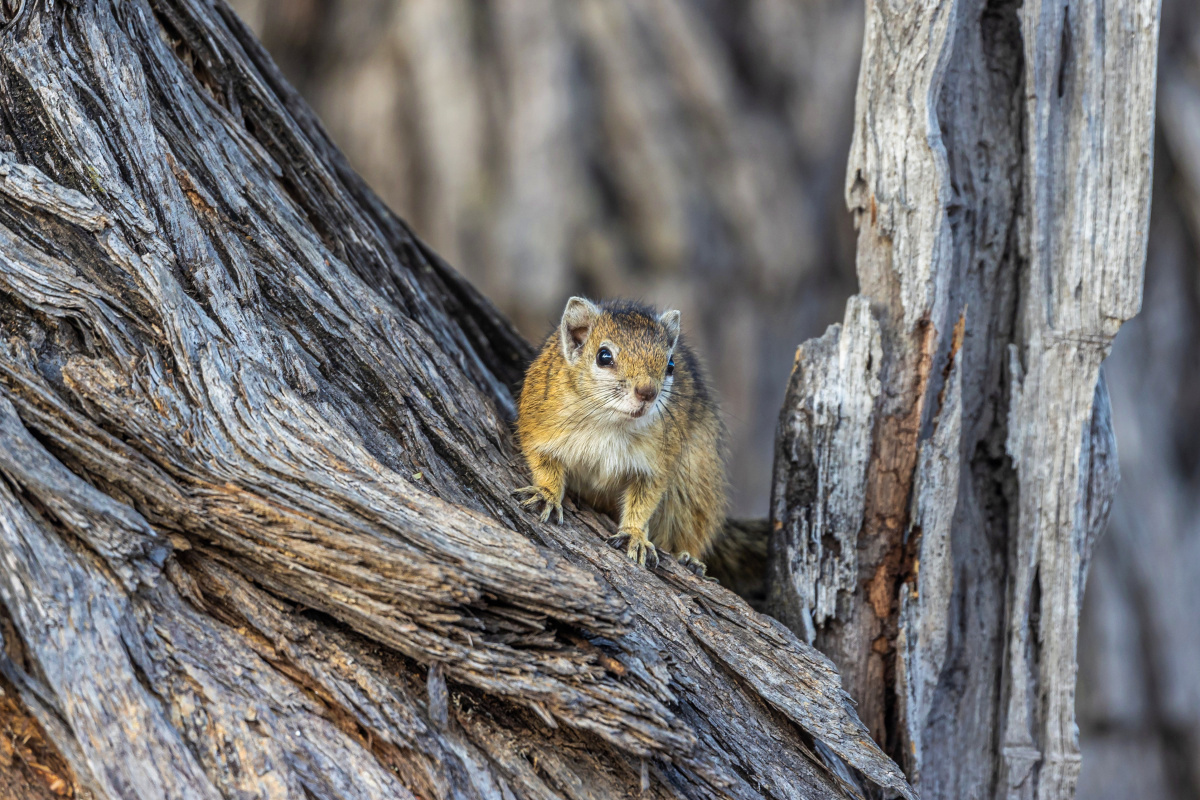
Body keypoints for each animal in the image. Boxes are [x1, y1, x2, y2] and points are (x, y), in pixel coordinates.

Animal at [513, 297, 720, 573]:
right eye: (604, 356)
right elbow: (545, 464)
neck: (611, 421)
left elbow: (644, 501)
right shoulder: (539, 429)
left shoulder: (657, 465)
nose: (647, 392)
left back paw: (689, 558)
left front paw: (634, 534)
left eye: (671, 365)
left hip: (695, 484)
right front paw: (546, 494)